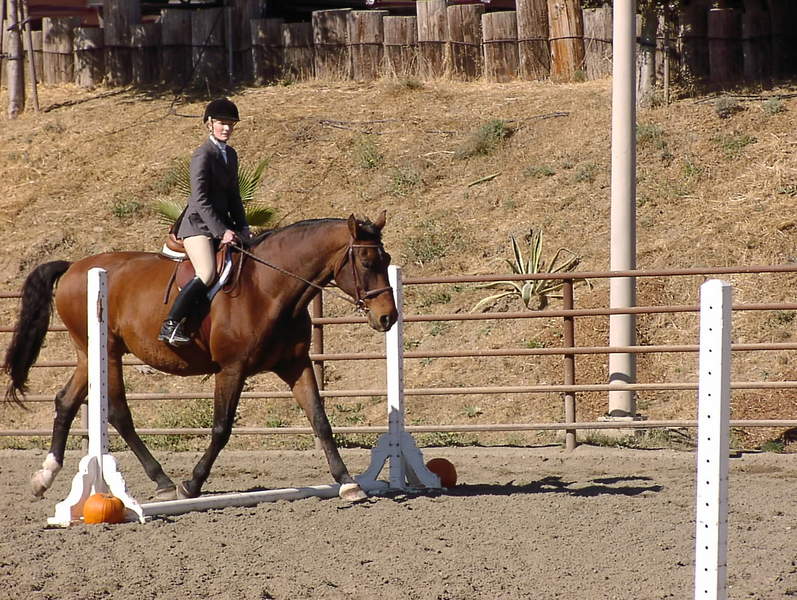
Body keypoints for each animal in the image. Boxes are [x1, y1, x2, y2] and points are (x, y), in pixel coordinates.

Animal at [3, 213, 397, 502]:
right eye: (366, 261)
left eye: (387, 260)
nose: (387, 318)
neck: (268, 288)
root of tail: (74, 267)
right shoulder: (232, 369)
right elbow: (221, 429)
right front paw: (191, 484)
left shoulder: (295, 365)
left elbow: (320, 420)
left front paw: (348, 482)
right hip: (105, 352)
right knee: (117, 412)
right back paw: (163, 481)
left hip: (91, 356)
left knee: (66, 401)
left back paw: (45, 477)